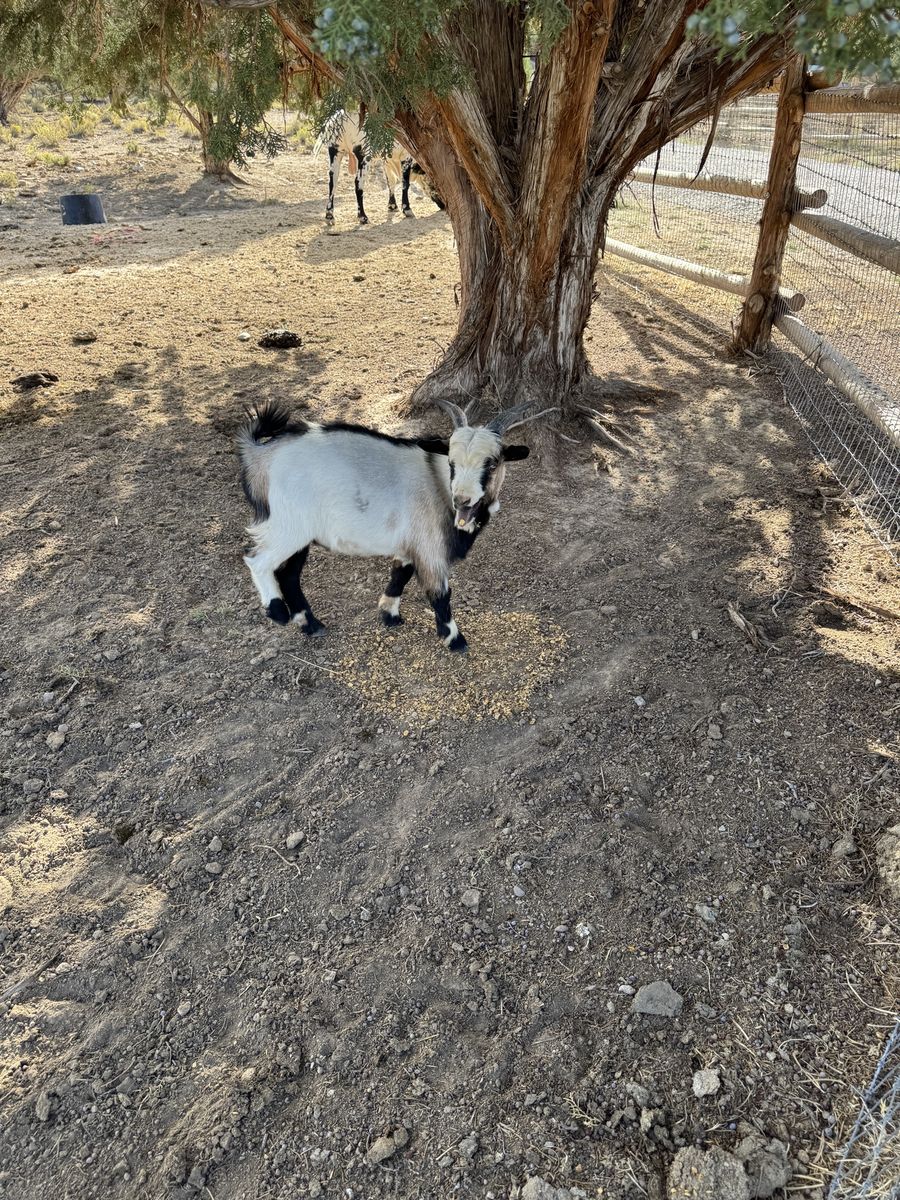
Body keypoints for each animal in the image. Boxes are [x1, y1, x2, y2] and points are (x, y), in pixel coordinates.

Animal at [237, 400, 547, 652]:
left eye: (492, 463)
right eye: (451, 462)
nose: (462, 499)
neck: (439, 486)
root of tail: (260, 455)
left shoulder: (410, 544)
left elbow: (400, 575)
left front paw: (389, 615)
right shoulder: (430, 549)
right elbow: (440, 594)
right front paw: (455, 639)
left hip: (300, 534)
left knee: (288, 574)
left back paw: (310, 625)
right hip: (288, 526)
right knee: (257, 560)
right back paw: (277, 612)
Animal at [315, 110, 444, 225]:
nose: (444, 205)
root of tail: (341, 117)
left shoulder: (386, 160)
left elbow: (390, 181)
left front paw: (392, 205)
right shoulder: (406, 157)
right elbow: (405, 183)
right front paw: (407, 209)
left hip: (336, 151)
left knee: (333, 182)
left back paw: (329, 214)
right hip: (364, 155)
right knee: (358, 183)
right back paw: (363, 217)